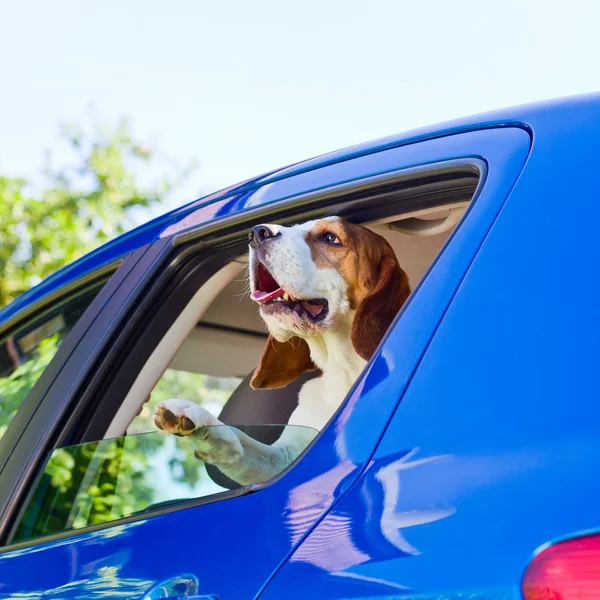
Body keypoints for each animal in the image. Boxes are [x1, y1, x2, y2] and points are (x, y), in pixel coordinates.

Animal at [152, 218, 410, 486]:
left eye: (330, 238)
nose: (257, 233)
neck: (344, 371)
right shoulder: (285, 458)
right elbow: (243, 444)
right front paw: (202, 423)